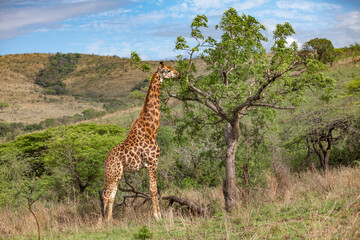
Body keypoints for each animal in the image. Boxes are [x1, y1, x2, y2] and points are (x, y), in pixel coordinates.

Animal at [98, 61, 180, 220]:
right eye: (168, 70)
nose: (179, 74)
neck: (151, 129)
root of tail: (104, 163)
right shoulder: (152, 162)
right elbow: (153, 190)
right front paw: (157, 216)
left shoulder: (150, 164)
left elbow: (154, 190)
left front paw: (158, 215)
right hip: (113, 174)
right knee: (105, 195)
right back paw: (101, 222)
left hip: (116, 175)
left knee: (111, 196)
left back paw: (109, 220)